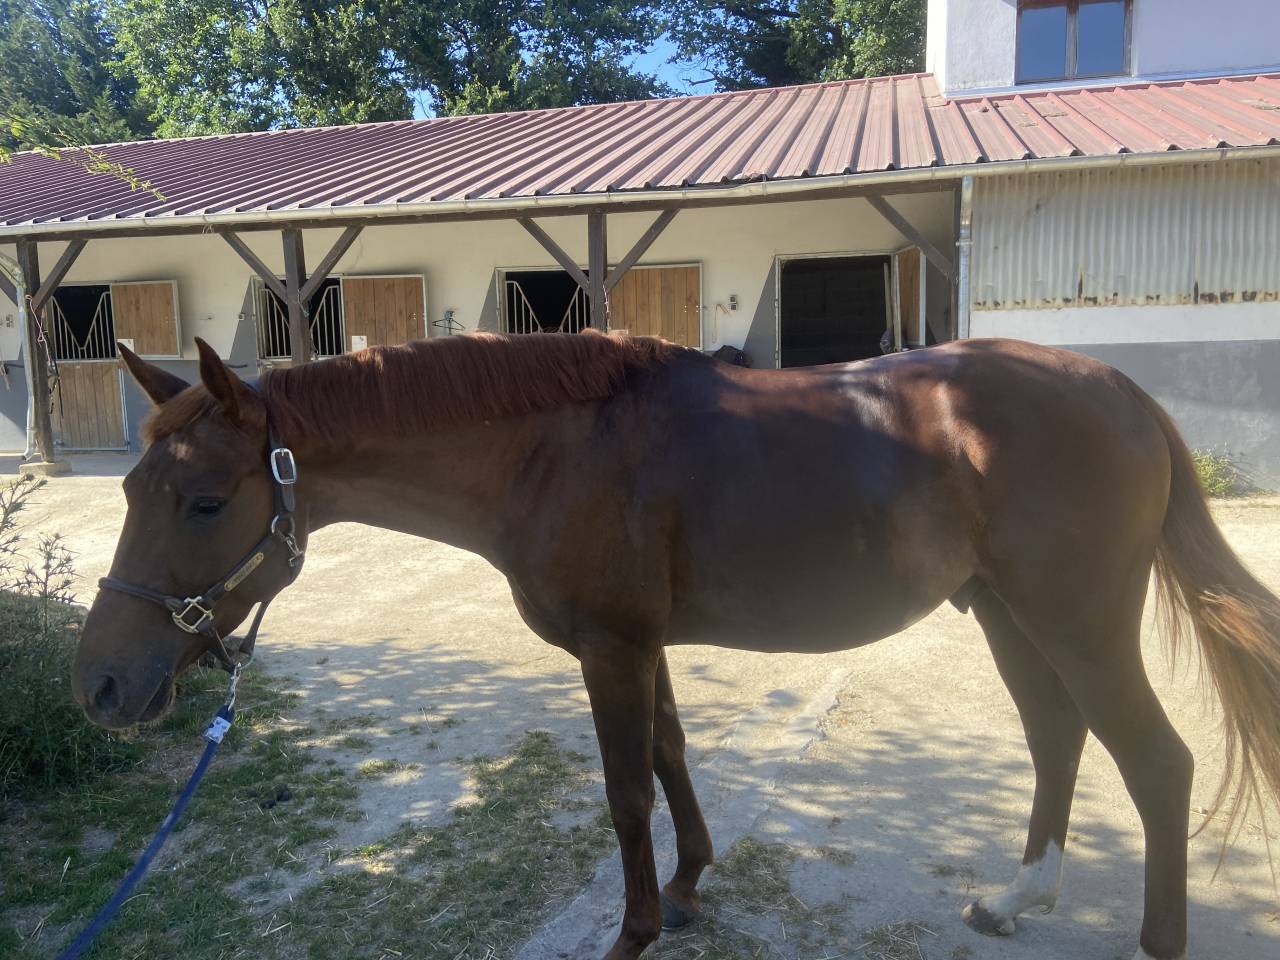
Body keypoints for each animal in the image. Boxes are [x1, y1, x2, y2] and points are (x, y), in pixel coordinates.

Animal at [72, 331, 1280, 960]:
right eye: (128, 491)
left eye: (205, 502)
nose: (101, 685)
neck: (551, 448)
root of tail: (1122, 391)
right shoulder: (640, 642)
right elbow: (671, 755)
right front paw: (695, 886)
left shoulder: (608, 646)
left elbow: (624, 792)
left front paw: (637, 929)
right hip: (1008, 616)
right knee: (1058, 740)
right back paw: (1017, 898)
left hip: (1078, 620)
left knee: (1154, 764)